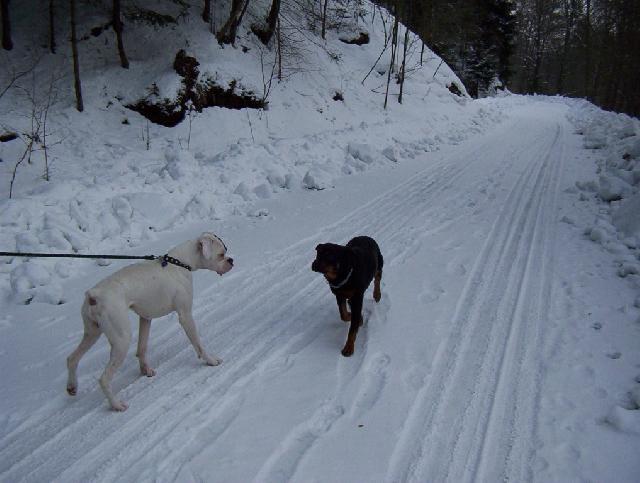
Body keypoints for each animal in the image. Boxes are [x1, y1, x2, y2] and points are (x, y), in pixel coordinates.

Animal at [65, 234, 234, 412]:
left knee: (72, 359)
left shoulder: (145, 318)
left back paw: (72, 386)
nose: (231, 260)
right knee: (104, 379)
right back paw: (117, 405)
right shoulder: (185, 316)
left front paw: (145, 370)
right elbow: (198, 344)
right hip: (121, 340)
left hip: (92, 333)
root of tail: (94, 295)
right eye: (221, 255)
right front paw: (211, 360)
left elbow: (142, 347)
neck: (180, 263)